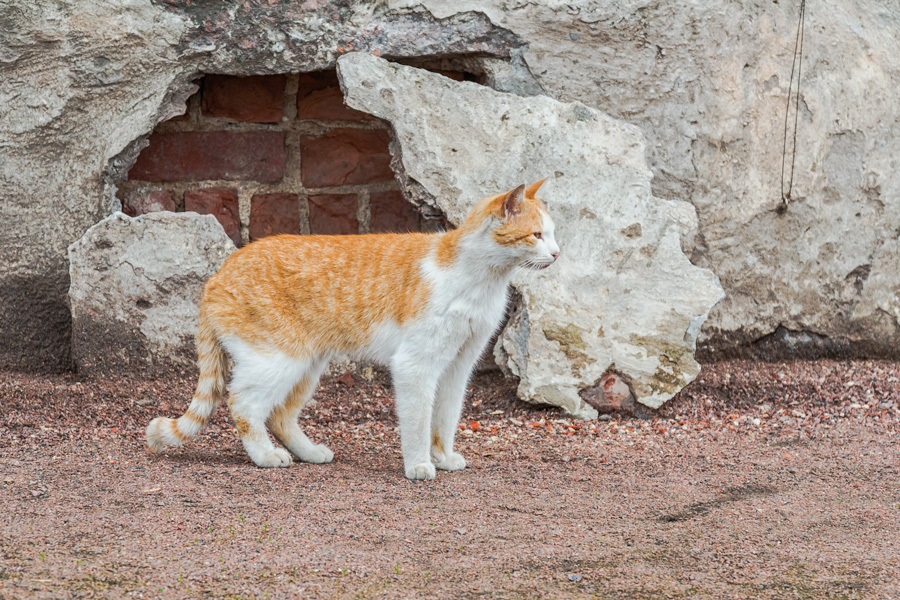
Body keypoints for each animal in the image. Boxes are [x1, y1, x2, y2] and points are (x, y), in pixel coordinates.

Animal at [145, 178, 560, 478]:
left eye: (553, 234)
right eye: (537, 235)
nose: (557, 254)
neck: (480, 279)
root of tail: (218, 273)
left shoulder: (458, 365)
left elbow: (444, 418)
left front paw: (443, 458)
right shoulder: (415, 365)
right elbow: (418, 420)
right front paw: (419, 465)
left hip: (307, 365)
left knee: (279, 415)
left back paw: (309, 452)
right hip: (279, 360)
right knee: (243, 405)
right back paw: (265, 456)